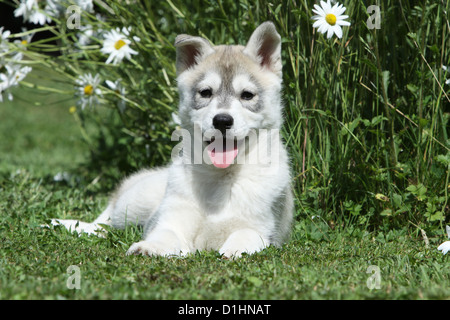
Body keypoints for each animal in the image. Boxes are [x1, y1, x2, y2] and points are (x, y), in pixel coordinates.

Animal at [51, 22, 294, 258]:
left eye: (247, 95)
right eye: (205, 92)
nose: (222, 121)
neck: (220, 179)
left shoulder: (265, 228)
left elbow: (247, 234)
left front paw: (234, 249)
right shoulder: (169, 219)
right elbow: (165, 234)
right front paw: (151, 247)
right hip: (134, 202)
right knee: (104, 221)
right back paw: (64, 224)